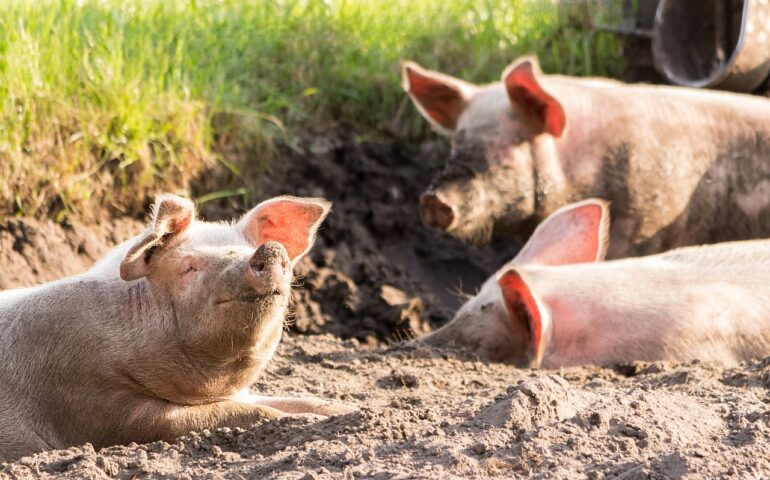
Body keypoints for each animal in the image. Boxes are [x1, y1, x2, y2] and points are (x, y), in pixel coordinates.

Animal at [0, 193, 352, 464]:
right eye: (189, 267)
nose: (270, 248)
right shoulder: (94, 402)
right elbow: (237, 413)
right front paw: (307, 421)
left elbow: (297, 401)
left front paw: (350, 410)